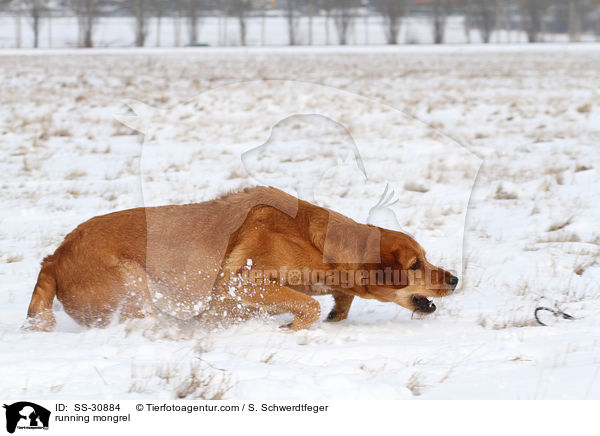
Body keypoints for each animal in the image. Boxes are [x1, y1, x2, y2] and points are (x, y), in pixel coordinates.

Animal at [25, 186, 458, 332]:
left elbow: (334, 300)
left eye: (425, 258)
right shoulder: (242, 282)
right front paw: (292, 329)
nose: (453, 279)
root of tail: (54, 258)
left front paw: (337, 310)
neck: (317, 242)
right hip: (132, 283)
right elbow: (307, 305)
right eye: (416, 265)